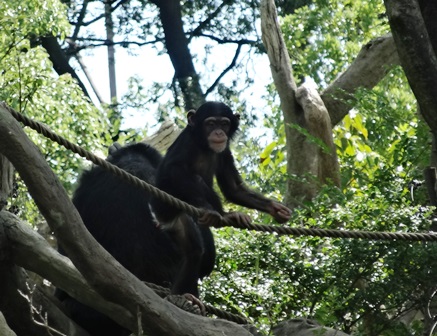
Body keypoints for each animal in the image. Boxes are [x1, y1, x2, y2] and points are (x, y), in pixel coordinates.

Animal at [152, 101, 292, 298]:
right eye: (210, 124)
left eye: (224, 124)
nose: (219, 132)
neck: (204, 144)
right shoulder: (186, 142)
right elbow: (174, 169)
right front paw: (206, 208)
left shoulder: (225, 151)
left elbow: (233, 188)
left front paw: (275, 208)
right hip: (166, 210)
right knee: (195, 181)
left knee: (194, 252)